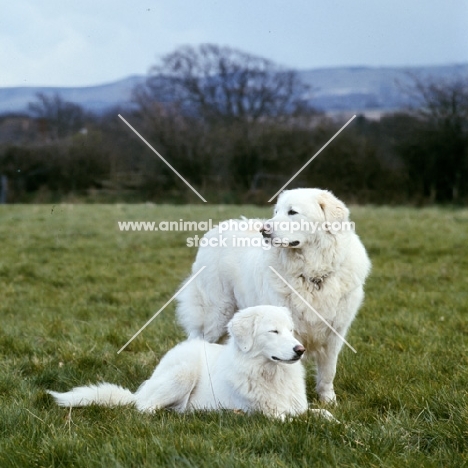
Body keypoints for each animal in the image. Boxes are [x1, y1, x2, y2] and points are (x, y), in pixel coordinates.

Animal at [48, 308, 336, 420]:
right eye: (273, 332)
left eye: (291, 331)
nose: (300, 350)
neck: (271, 373)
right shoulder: (268, 415)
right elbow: (292, 420)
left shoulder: (300, 408)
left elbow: (324, 414)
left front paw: (338, 424)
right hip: (182, 375)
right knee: (143, 408)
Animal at [177, 188, 372, 404]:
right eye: (276, 211)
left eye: (292, 212)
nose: (264, 230)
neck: (311, 275)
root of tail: (217, 227)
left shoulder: (335, 331)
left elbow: (328, 371)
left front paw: (328, 400)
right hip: (215, 316)